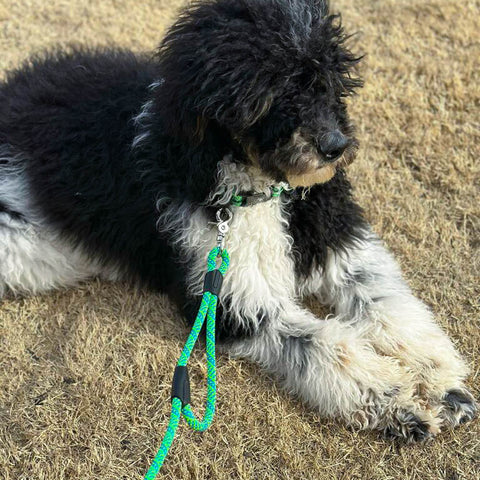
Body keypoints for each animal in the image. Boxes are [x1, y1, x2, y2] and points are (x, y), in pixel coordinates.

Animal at [0, 0, 474, 442]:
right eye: (270, 92)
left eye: (327, 80)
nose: (335, 146)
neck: (259, 191)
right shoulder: (236, 300)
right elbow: (323, 345)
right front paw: (397, 398)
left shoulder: (340, 244)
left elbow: (387, 303)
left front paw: (438, 379)